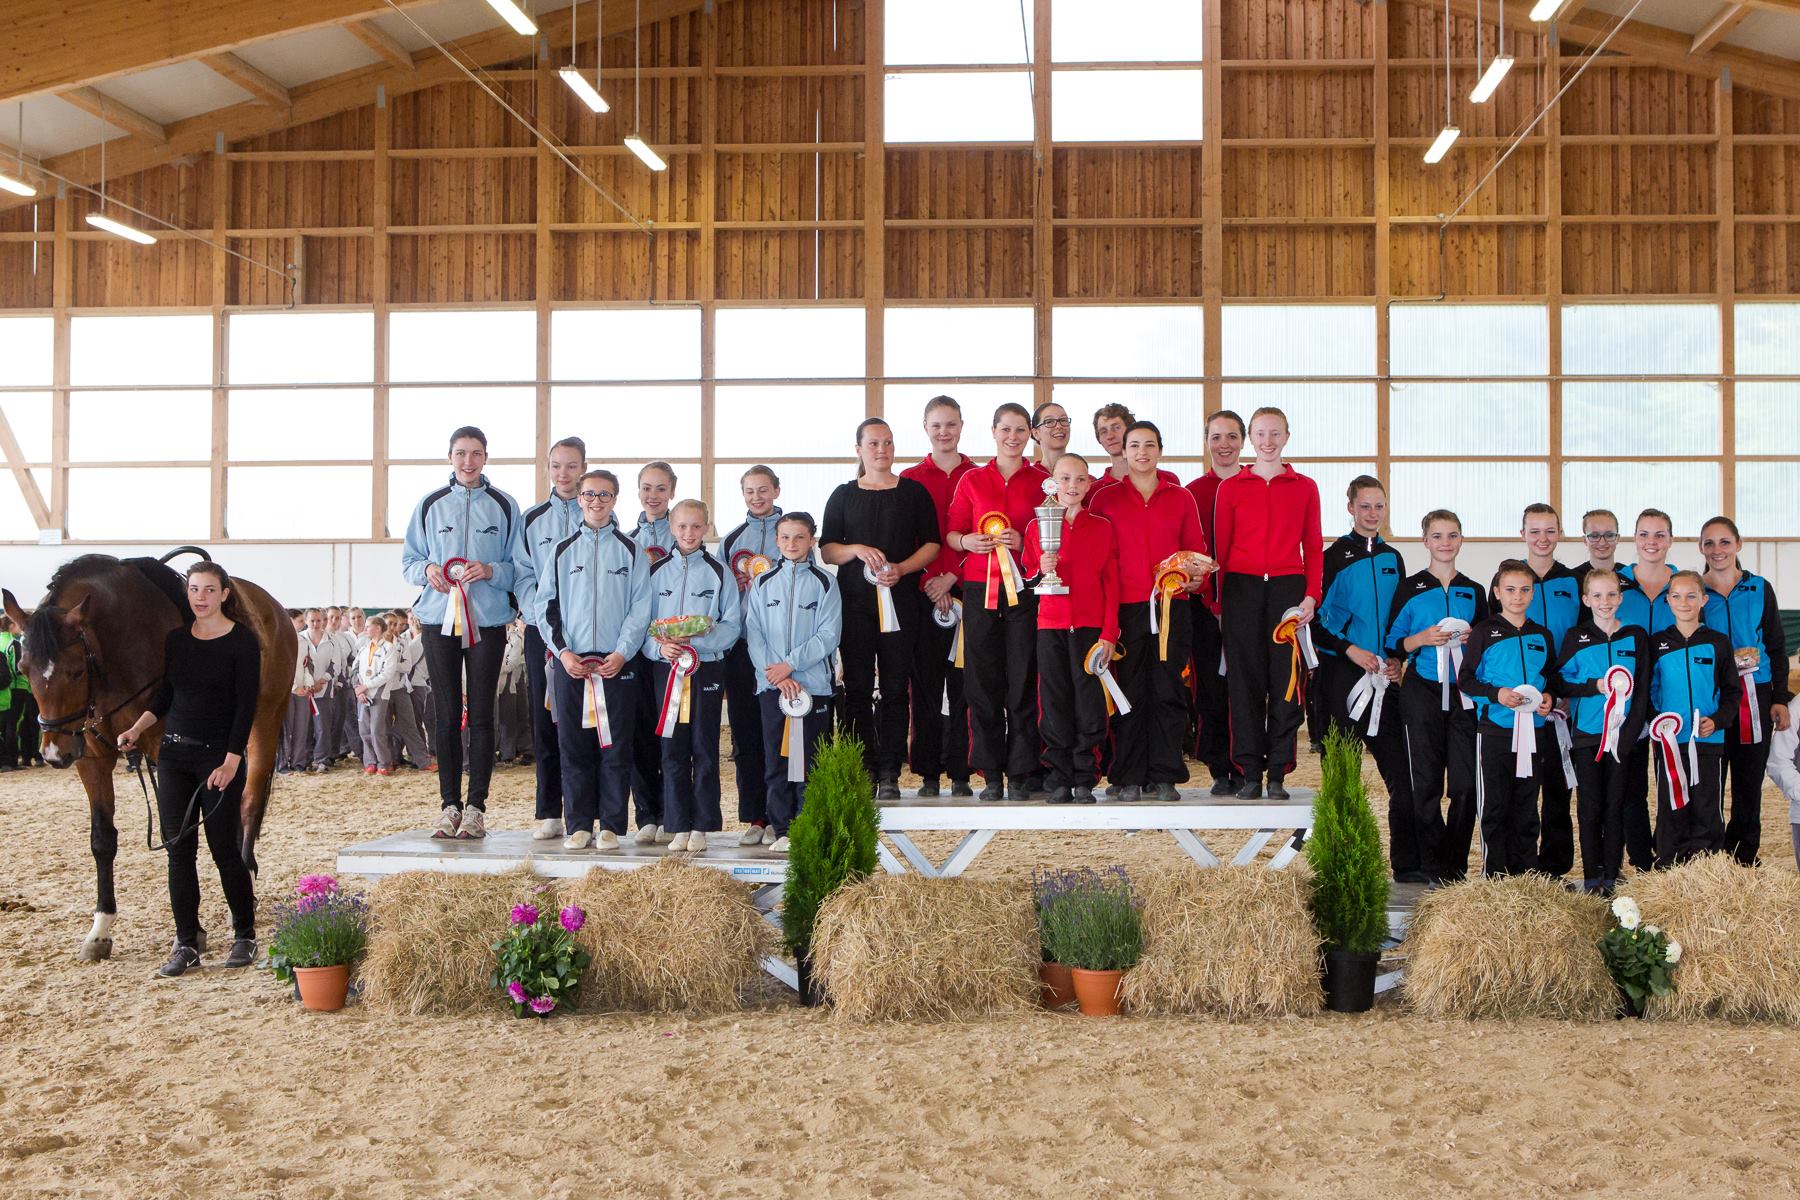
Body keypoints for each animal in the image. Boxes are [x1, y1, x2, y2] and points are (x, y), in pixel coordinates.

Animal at [4, 550, 291, 957]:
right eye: (24, 668)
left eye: (75, 671)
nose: (55, 753)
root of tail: (276, 609)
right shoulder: (92, 758)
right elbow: (103, 839)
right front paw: (100, 930)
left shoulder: (166, 748)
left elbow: (179, 834)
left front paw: (192, 931)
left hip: (264, 721)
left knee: (249, 801)